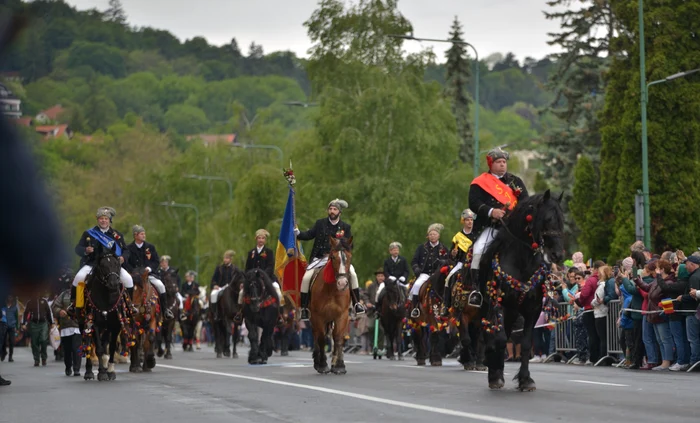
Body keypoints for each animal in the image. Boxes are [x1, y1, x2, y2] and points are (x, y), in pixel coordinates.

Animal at [82, 252, 128, 384]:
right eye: (102, 266)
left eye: (117, 264)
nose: (113, 284)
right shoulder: (95, 325)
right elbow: (99, 349)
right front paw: (102, 373)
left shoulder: (115, 326)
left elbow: (111, 347)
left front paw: (110, 371)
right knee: (88, 344)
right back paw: (89, 371)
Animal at [310, 237, 352, 376]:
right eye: (333, 257)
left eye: (349, 256)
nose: (342, 283)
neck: (332, 289)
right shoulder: (318, 316)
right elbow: (322, 339)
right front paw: (322, 365)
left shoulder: (342, 315)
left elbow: (338, 338)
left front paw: (339, 366)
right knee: (316, 335)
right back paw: (317, 361)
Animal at [478, 190, 568, 392]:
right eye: (548, 219)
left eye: (562, 220)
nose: (558, 255)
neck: (522, 262)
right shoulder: (499, 303)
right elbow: (500, 339)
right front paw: (495, 370)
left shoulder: (533, 309)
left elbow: (526, 344)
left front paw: (526, 379)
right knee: (488, 334)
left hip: (513, 312)